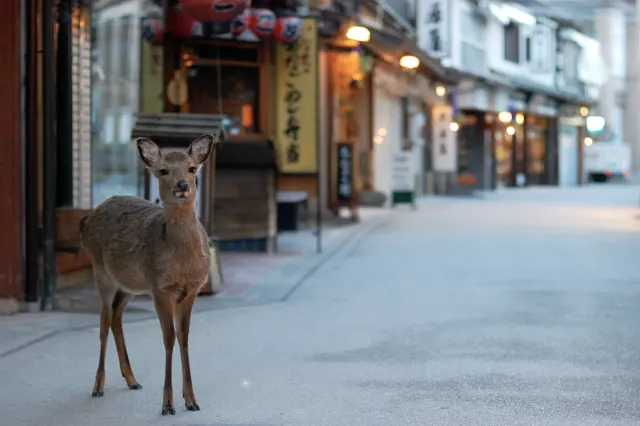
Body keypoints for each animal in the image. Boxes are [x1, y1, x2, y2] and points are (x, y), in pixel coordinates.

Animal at [80, 134, 218, 415]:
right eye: (163, 170)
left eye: (192, 168)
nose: (182, 185)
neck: (181, 262)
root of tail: (87, 219)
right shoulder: (160, 288)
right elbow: (168, 339)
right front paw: (167, 404)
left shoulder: (192, 289)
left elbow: (184, 338)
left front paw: (191, 400)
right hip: (102, 273)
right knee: (103, 322)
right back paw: (98, 386)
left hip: (129, 286)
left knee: (116, 318)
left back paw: (132, 380)